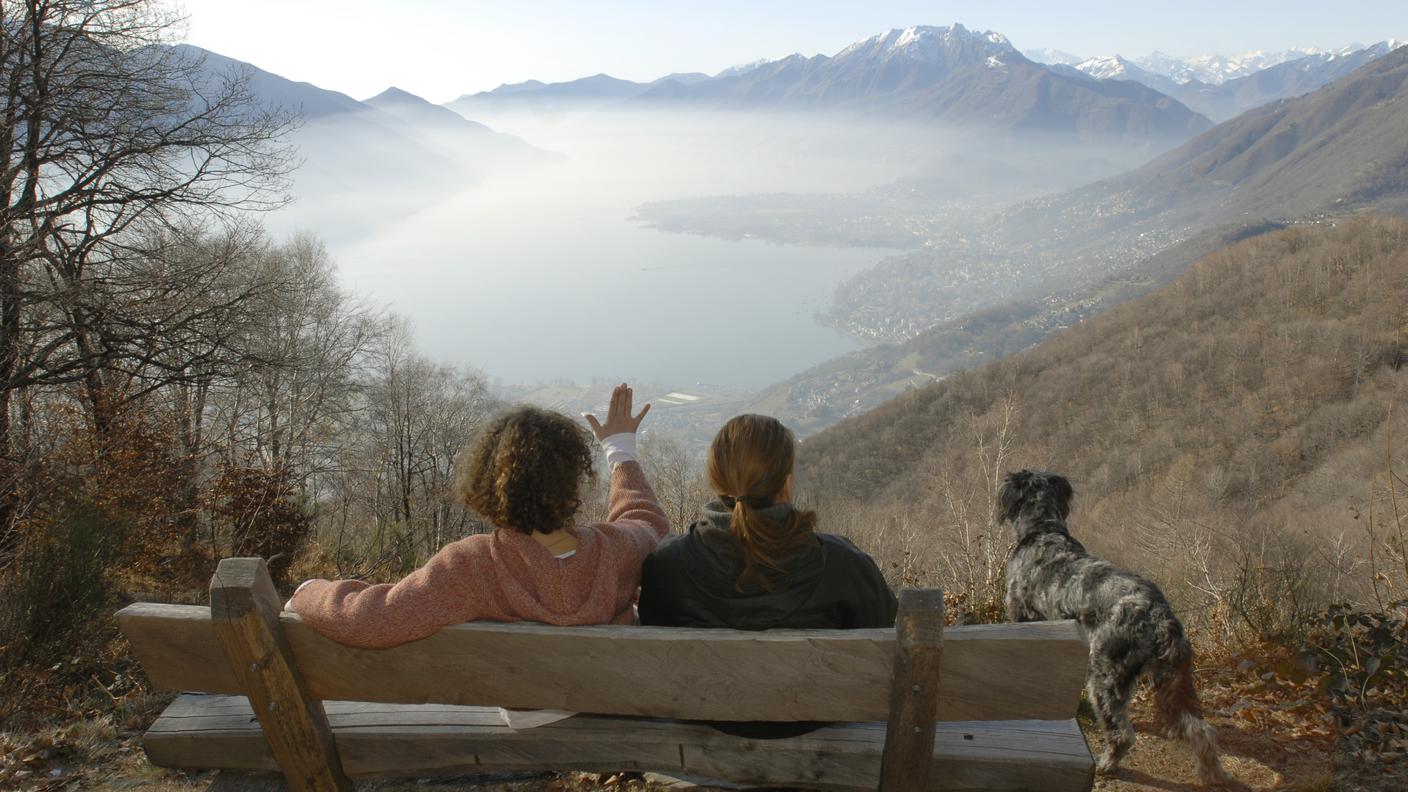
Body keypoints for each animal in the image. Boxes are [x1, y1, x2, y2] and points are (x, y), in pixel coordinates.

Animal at [996, 467, 1227, 783]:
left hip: (1105, 674)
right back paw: (1211, 773)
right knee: (1200, 729)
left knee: (1122, 734)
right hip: (1168, 679)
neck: (1043, 531)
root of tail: (1160, 616)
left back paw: (1107, 765)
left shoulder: (1021, 616)